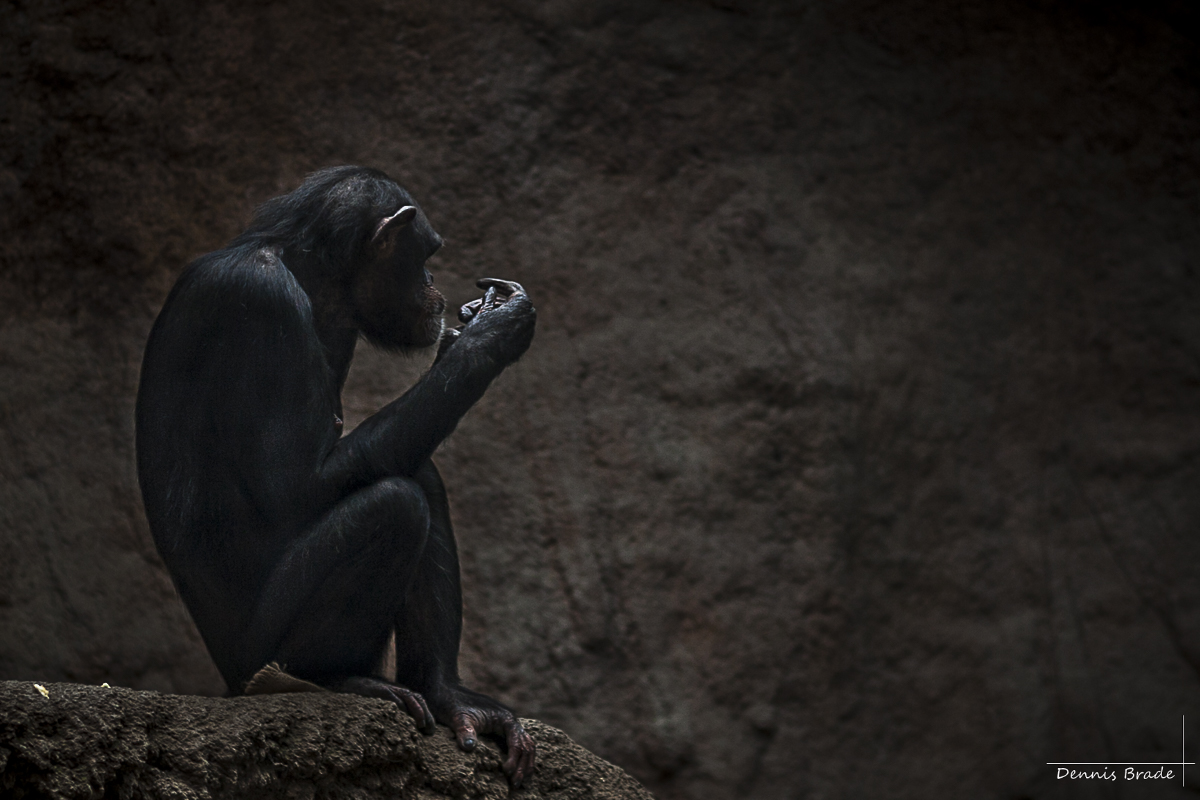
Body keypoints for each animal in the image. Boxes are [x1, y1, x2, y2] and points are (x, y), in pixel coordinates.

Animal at [132, 165, 540, 786]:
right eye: (426, 254)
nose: (436, 284)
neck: (310, 271)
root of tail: (230, 682)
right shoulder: (263, 302)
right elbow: (295, 487)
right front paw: (492, 333)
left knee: (418, 474)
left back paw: (448, 696)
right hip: (259, 658)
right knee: (394, 504)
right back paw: (332, 679)